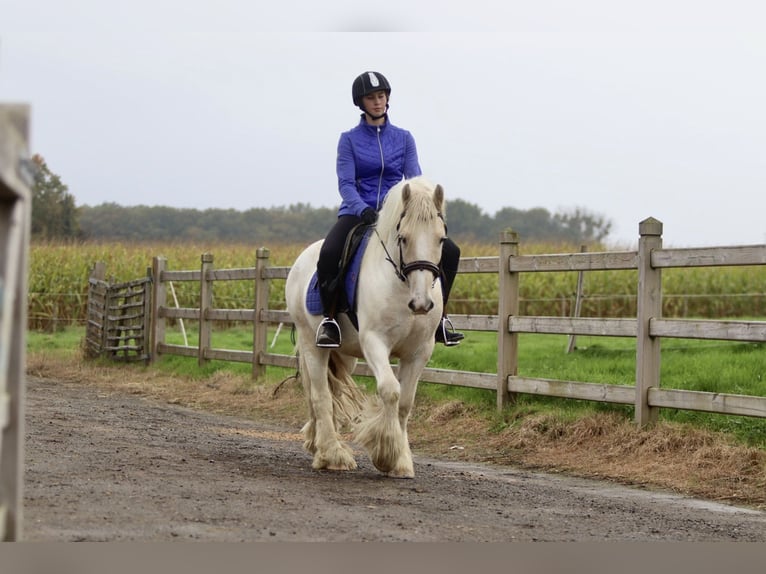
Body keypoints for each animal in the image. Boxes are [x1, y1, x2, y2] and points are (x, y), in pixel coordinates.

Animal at [284, 177, 448, 482]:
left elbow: (405, 402)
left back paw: (317, 446)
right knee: (321, 396)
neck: (402, 286)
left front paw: (401, 462)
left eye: (441, 239)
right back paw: (332, 455)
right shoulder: (375, 342)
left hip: (344, 355)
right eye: (403, 237)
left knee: (327, 393)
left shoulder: (419, 352)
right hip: (313, 344)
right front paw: (386, 454)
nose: (421, 304)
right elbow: (390, 390)